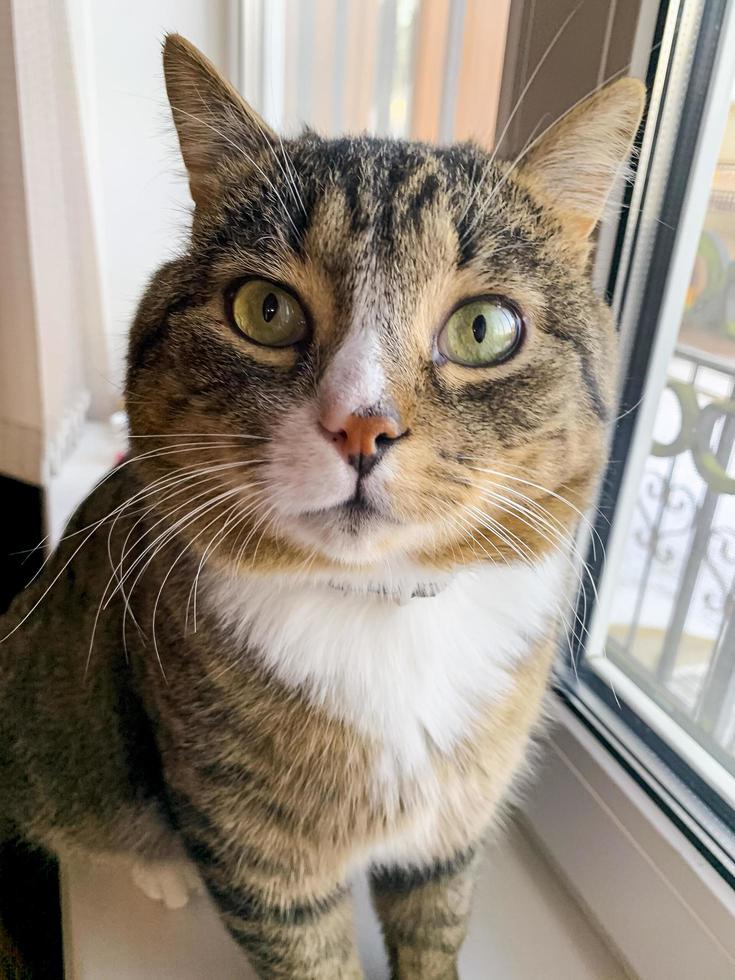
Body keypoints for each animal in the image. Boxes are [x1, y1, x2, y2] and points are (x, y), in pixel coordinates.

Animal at [0, 32, 644, 980]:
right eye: (264, 310)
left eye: (484, 329)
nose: (360, 427)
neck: (382, 614)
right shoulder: (261, 858)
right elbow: (309, 953)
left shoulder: (451, 825)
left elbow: (435, 921)